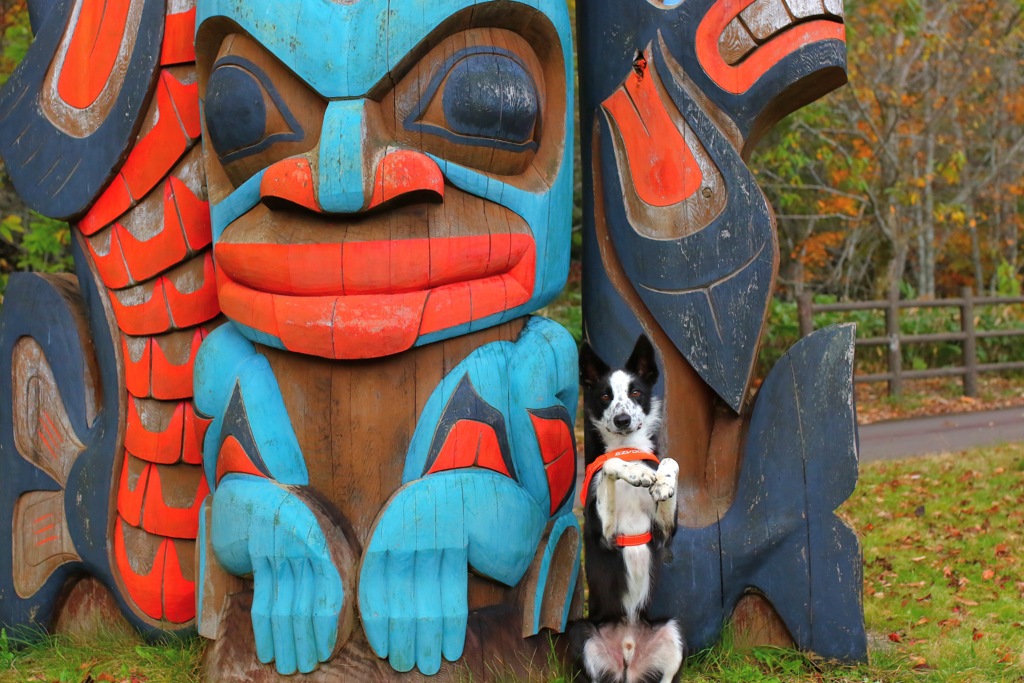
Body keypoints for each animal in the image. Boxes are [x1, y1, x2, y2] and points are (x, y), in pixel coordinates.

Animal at [577, 335, 679, 683]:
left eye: (636, 392)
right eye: (605, 395)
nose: (622, 420)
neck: (627, 448)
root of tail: (628, 653)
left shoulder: (664, 532)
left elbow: (669, 461)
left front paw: (662, 480)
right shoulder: (605, 535)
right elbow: (609, 464)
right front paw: (635, 473)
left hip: (672, 632)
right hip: (584, 638)